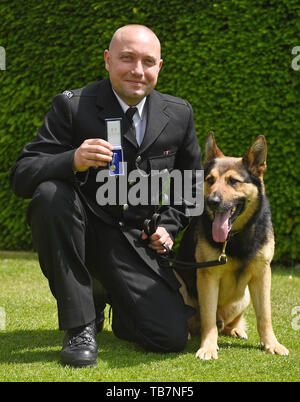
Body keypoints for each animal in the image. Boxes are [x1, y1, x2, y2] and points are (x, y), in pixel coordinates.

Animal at [176, 133, 288, 362]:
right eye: (210, 180)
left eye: (233, 181)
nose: (212, 201)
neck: (236, 236)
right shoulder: (208, 277)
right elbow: (208, 318)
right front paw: (208, 347)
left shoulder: (262, 274)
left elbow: (265, 315)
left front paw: (271, 344)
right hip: (180, 285)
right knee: (202, 319)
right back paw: (192, 331)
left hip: (244, 296)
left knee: (229, 322)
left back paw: (235, 329)